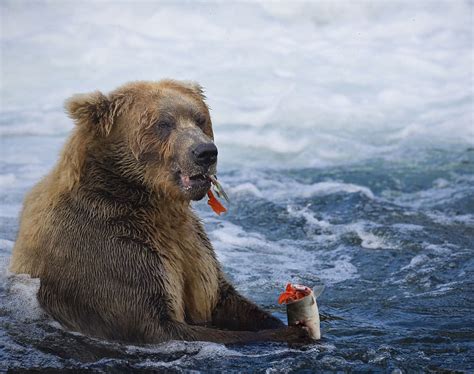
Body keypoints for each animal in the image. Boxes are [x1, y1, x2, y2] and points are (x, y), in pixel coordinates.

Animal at [9, 81, 312, 344]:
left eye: (200, 118)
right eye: (163, 123)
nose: (205, 152)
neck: (151, 201)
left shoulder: (193, 245)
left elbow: (221, 296)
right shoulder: (108, 249)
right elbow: (158, 324)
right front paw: (293, 332)